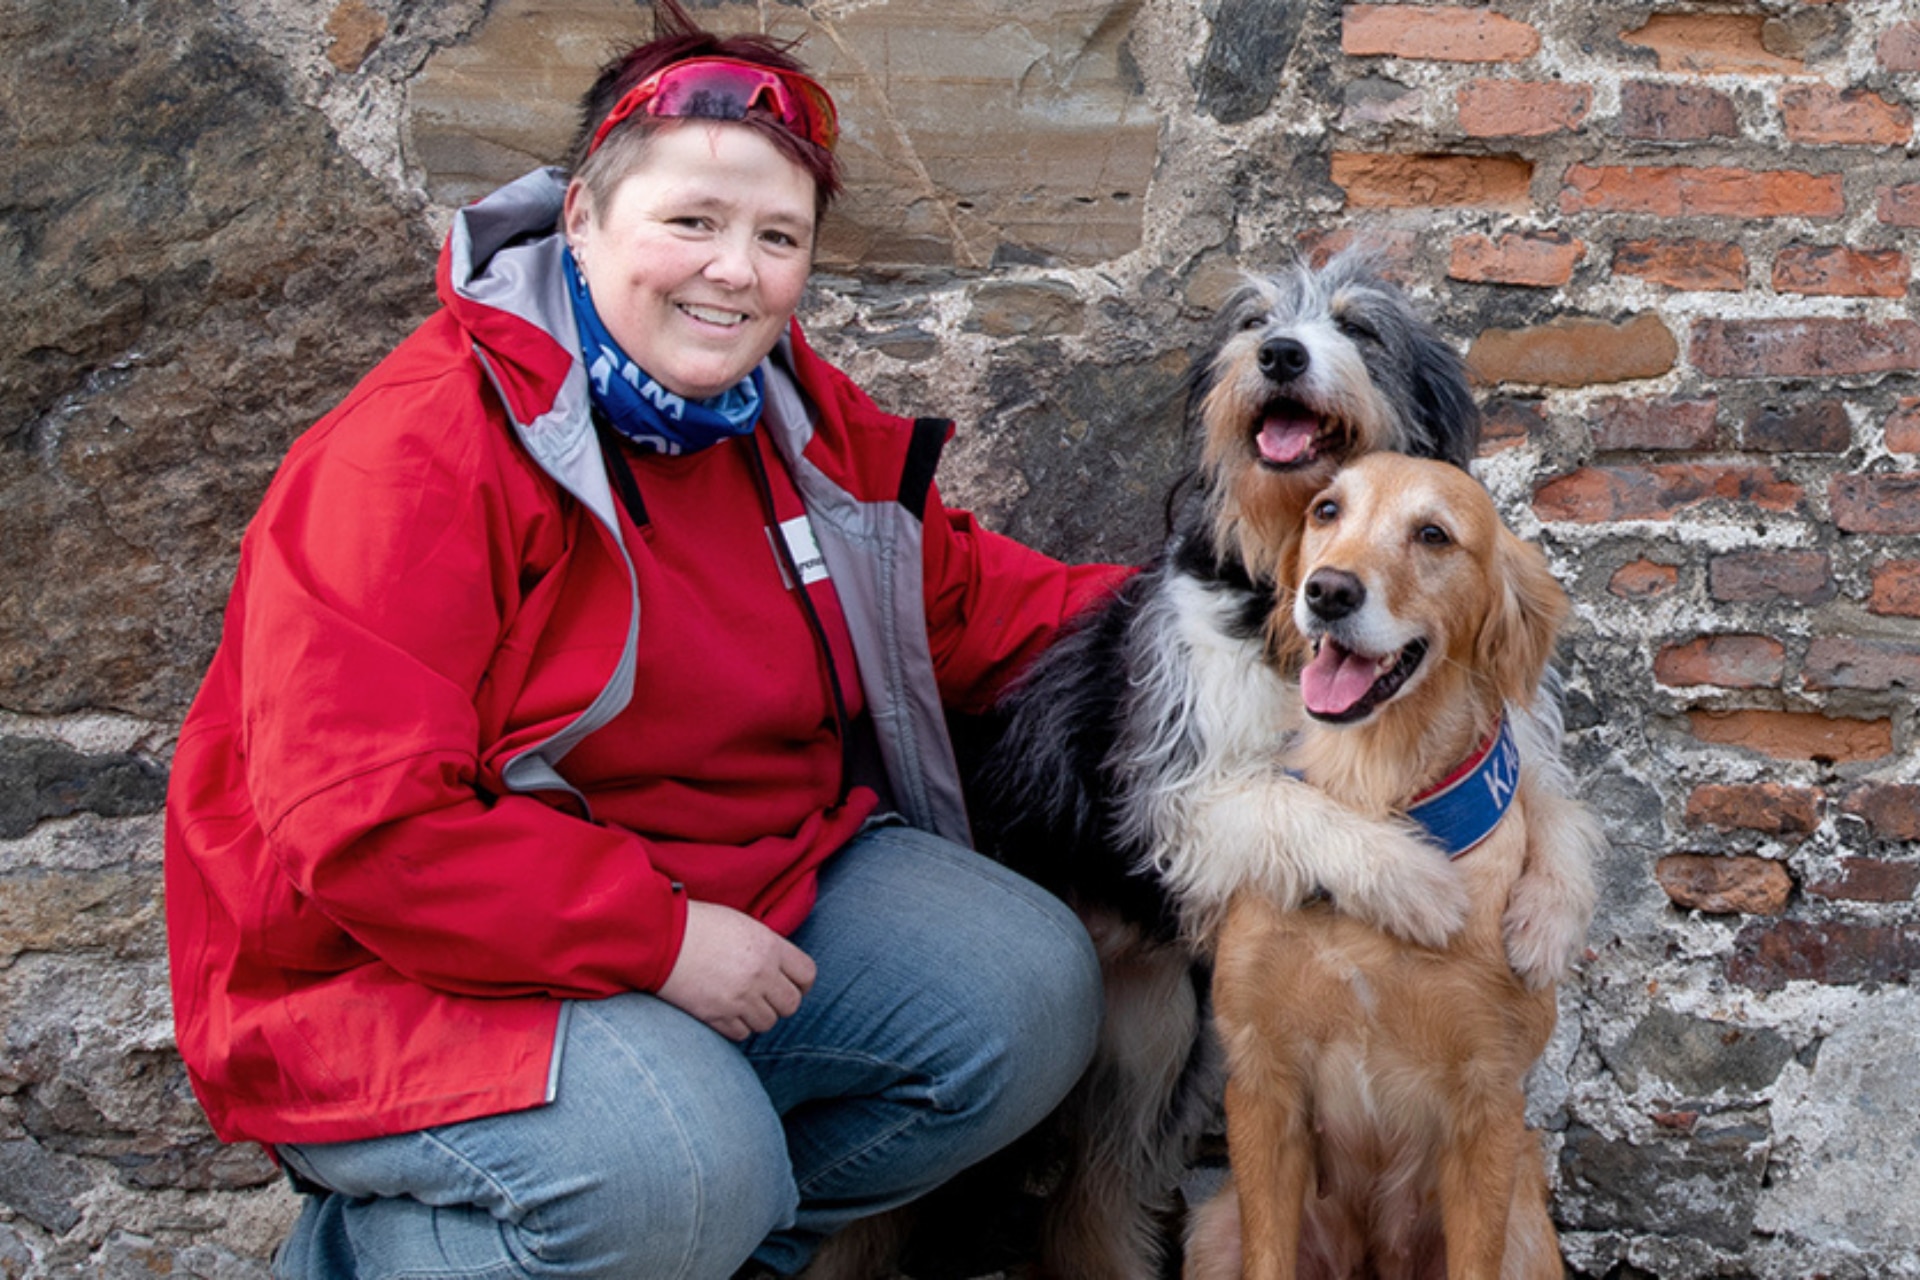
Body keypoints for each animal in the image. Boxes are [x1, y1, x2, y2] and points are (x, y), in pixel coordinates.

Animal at [1182, 454, 1605, 1274]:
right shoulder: (1262, 1082)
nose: (1329, 590)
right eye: (1326, 511)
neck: (1375, 795)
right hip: (1211, 1230)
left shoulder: (1487, 1103)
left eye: (1433, 534)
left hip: (1526, 1233)